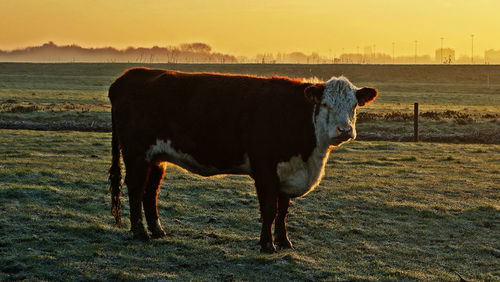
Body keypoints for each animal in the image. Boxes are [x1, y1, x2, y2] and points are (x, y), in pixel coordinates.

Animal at [107, 68, 376, 253]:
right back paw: (139, 232)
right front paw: (267, 245)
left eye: (354, 105)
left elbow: (283, 211)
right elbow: (269, 209)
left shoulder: (288, 172)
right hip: (136, 154)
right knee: (135, 189)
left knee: (150, 192)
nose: (344, 130)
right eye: (325, 104)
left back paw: (157, 230)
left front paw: (284, 241)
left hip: (156, 158)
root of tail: (129, 76)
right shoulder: (264, 169)